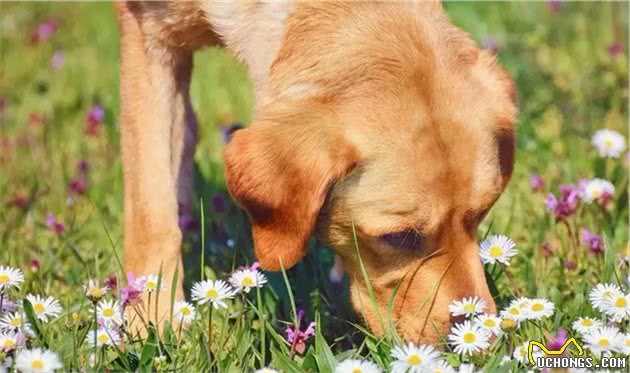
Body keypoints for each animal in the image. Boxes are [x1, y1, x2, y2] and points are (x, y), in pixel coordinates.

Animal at [116, 0, 516, 342]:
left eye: (481, 213)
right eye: (399, 237)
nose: (485, 340)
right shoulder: (147, 31)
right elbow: (152, 215)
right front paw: (153, 321)